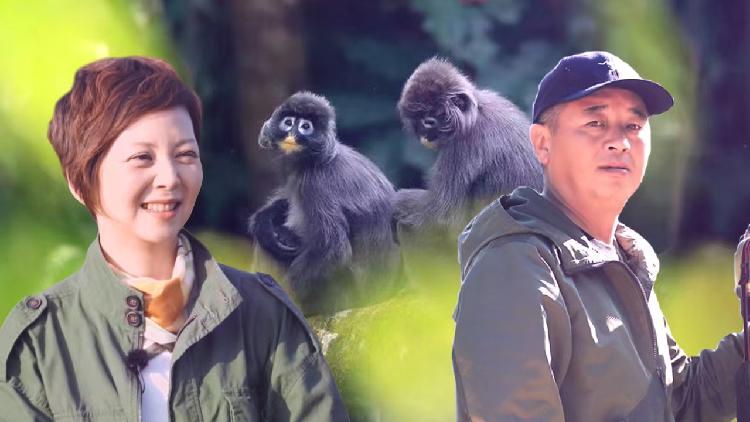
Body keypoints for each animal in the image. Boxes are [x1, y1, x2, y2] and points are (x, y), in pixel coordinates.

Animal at [248, 91, 402, 315]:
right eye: (288, 123)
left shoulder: (315, 184)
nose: (292, 135)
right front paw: (264, 220)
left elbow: (333, 249)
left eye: (305, 127)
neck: (319, 160)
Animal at [395, 57, 543, 232]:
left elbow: (441, 216)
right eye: (418, 117)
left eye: (430, 120)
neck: (477, 114)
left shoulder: (462, 145)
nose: (424, 130)